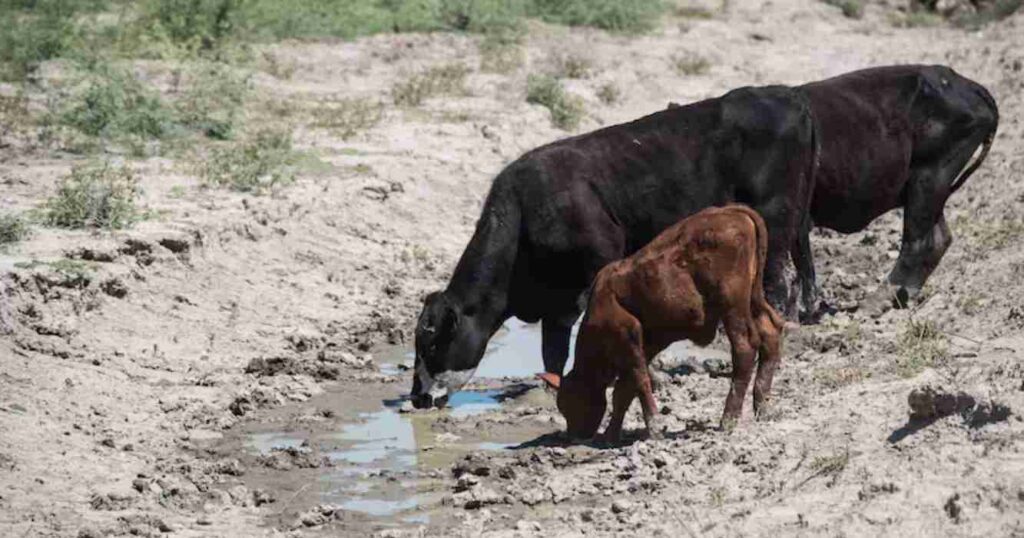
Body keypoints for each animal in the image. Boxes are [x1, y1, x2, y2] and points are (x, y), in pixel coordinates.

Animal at [407, 85, 815, 407]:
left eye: (431, 342)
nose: (417, 397)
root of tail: (786, 95)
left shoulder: (599, 261)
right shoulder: (557, 299)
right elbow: (552, 348)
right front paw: (549, 388)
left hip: (774, 218)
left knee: (782, 279)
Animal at [540, 203, 786, 438]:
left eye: (567, 403)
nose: (573, 435)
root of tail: (730, 211)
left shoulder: (627, 338)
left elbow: (639, 383)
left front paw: (654, 427)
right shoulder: (645, 345)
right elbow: (624, 390)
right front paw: (610, 434)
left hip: (733, 306)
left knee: (744, 347)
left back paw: (728, 419)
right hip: (753, 299)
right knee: (770, 333)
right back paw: (763, 407)